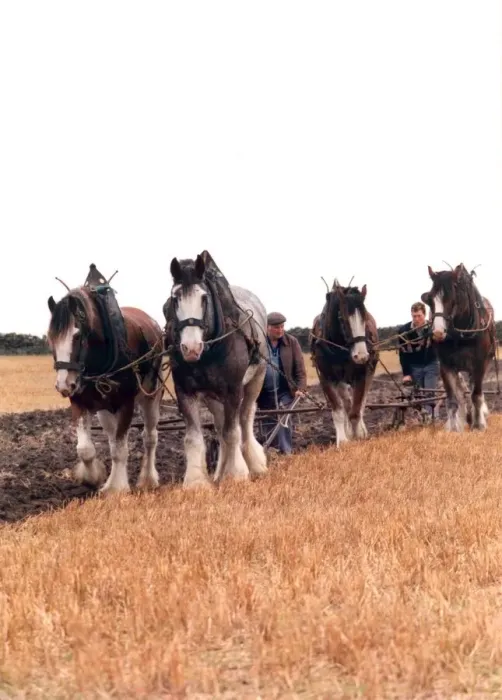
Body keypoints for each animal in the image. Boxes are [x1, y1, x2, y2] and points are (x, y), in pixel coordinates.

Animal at [46, 264, 165, 494]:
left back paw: (148, 478)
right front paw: (92, 477)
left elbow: (120, 449)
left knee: (149, 437)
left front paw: (115, 488)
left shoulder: (126, 403)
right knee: (112, 438)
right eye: (50, 338)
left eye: (77, 336)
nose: (64, 385)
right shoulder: (79, 401)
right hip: (105, 408)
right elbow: (85, 449)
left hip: (151, 396)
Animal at [162, 250, 269, 488]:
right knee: (220, 427)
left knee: (245, 420)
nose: (191, 348)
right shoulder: (186, 391)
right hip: (213, 396)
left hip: (255, 380)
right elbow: (194, 437)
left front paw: (236, 474)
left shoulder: (233, 390)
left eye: (204, 298)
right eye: (174, 299)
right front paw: (196, 482)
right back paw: (219, 473)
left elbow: (232, 432)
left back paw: (255, 464)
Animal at [310, 280, 379, 447]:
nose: (361, 356)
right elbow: (338, 410)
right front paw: (342, 440)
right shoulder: (326, 377)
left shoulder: (361, 374)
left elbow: (356, 410)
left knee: (360, 403)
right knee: (346, 402)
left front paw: (359, 435)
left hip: (370, 371)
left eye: (364, 317)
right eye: (342, 318)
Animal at [421, 263, 496, 432]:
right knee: (462, 391)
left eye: (451, 299)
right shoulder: (446, 366)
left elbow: (476, 394)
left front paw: (479, 425)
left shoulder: (479, 363)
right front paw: (454, 428)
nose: (437, 332)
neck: (460, 335)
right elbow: (453, 399)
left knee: (475, 389)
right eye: (430, 299)